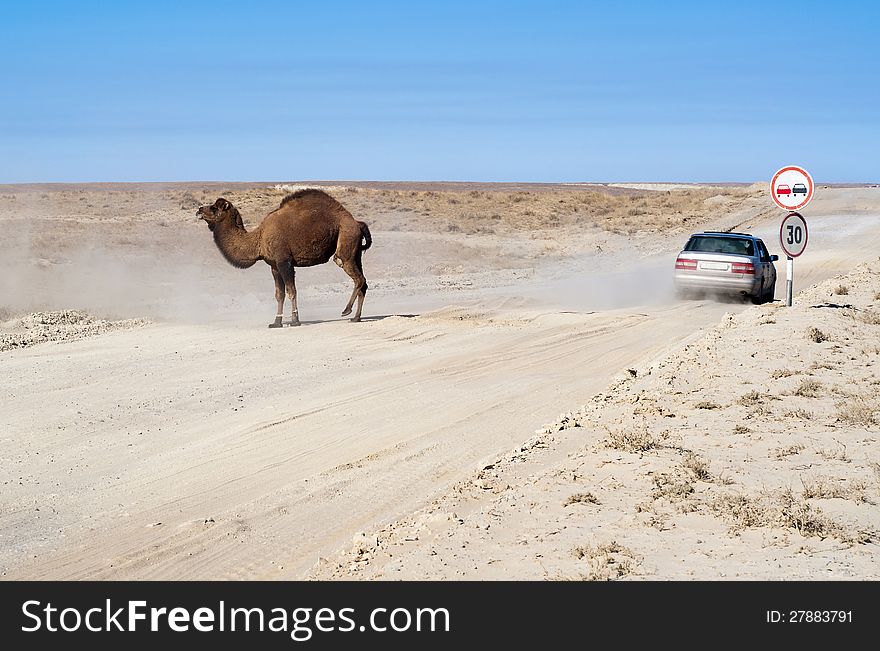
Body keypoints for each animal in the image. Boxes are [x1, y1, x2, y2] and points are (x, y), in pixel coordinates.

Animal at [198, 191, 372, 328]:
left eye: (214, 208)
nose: (199, 210)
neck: (258, 238)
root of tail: (357, 223)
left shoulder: (284, 262)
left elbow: (291, 290)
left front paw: (295, 320)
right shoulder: (274, 265)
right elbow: (279, 294)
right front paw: (276, 322)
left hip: (346, 240)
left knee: (355, 275)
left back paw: (346, 311)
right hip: (356, 252)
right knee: (363, 281)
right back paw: (356, 318)